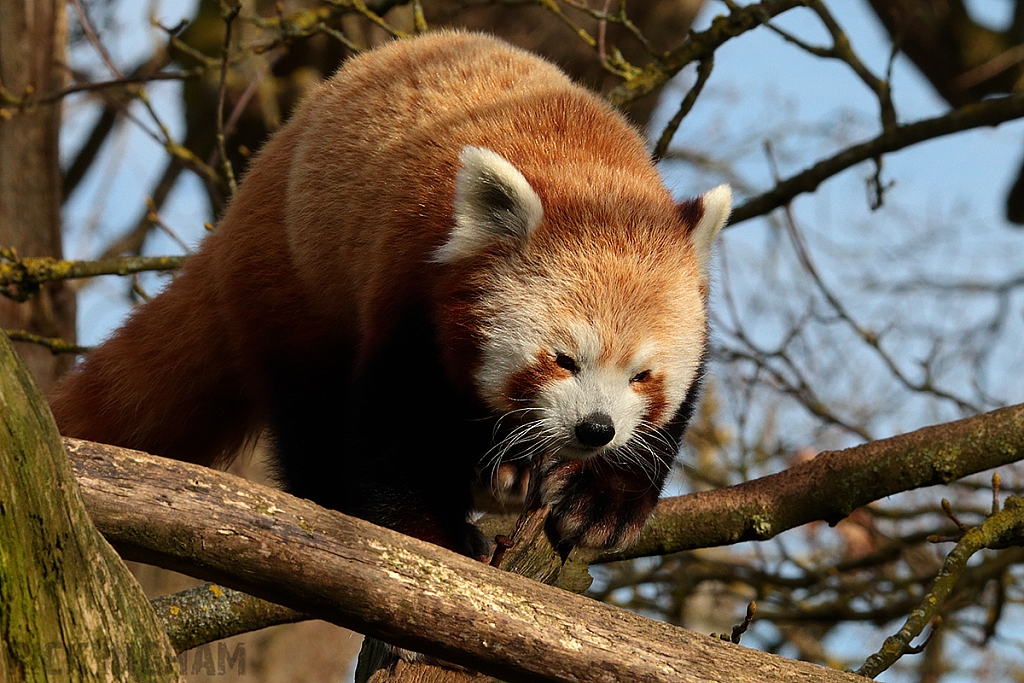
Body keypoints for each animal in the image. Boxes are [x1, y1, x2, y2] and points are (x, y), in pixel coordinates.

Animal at [51, 30, 733, 557]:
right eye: (563, 359)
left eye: (643, 375)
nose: (595, 430)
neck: (584, 161)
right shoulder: (408, 286)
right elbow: (387, 426)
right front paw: (429, 530)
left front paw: (604, 498)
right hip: (296, 281)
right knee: (313, 409)